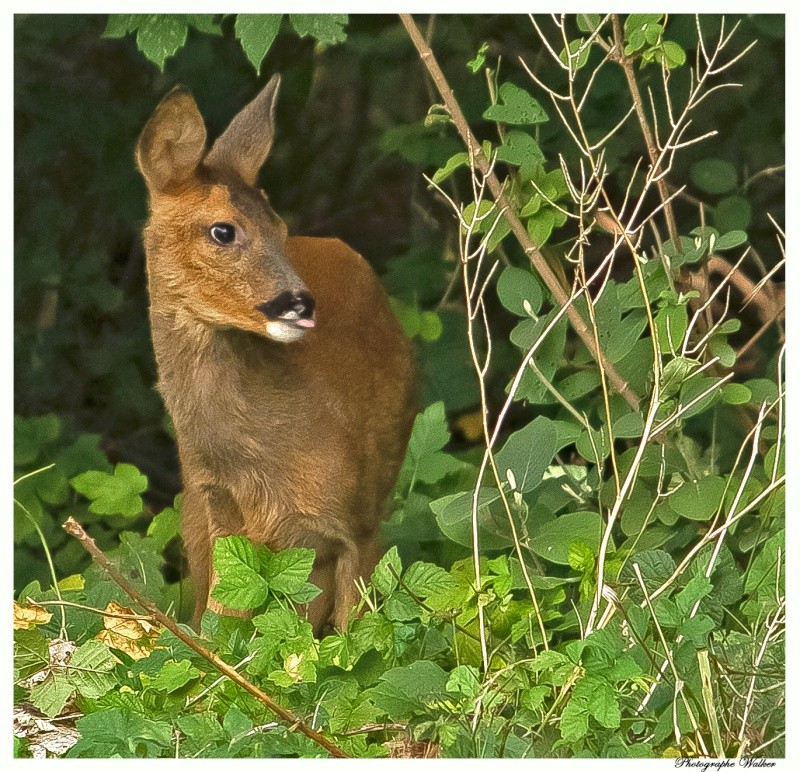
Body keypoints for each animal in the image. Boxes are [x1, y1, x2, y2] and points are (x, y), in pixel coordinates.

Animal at [134, 75, 416, 636]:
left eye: (279, 228)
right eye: (222, 230)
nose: (300, 302)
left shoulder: (357, 523)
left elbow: (359, 642)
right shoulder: (221, 519)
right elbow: (218, 634)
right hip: (193, 515)